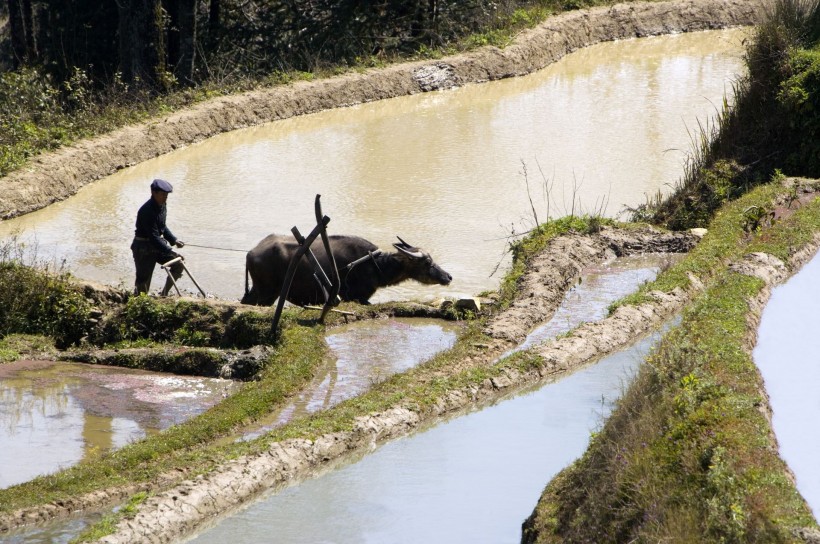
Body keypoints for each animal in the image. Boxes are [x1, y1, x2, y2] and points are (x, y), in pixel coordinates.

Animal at [237, 234, 454, 306]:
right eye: (427, 262)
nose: (448, 276)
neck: (374, 265)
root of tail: (250, 253)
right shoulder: (358, 297)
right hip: (266, 292)